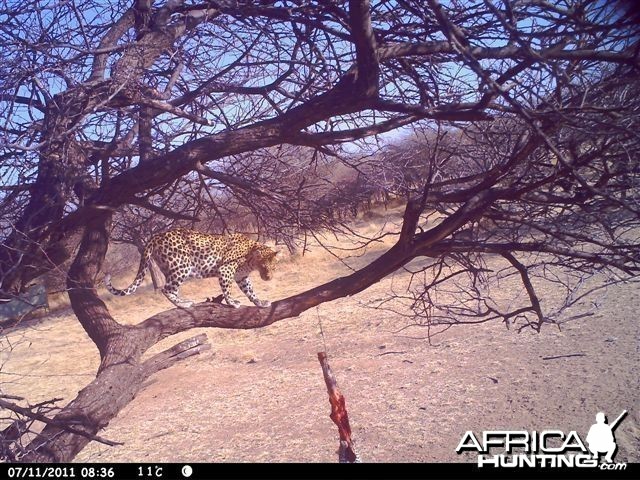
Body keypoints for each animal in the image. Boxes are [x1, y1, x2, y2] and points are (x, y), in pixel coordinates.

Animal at [105, 228, 278, 308]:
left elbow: (250, 291)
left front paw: (260, 302)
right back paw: (183, 304)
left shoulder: (241, 277)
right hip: (181, 266)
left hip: (169, 269)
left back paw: (183, 301)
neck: (250, 257)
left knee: (172, 289)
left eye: (274, 267)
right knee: (166, 289)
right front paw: (232, 302)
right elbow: (227, 290)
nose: (268, 278)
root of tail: (157, 235)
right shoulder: (225, 271)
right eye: (264, 266)